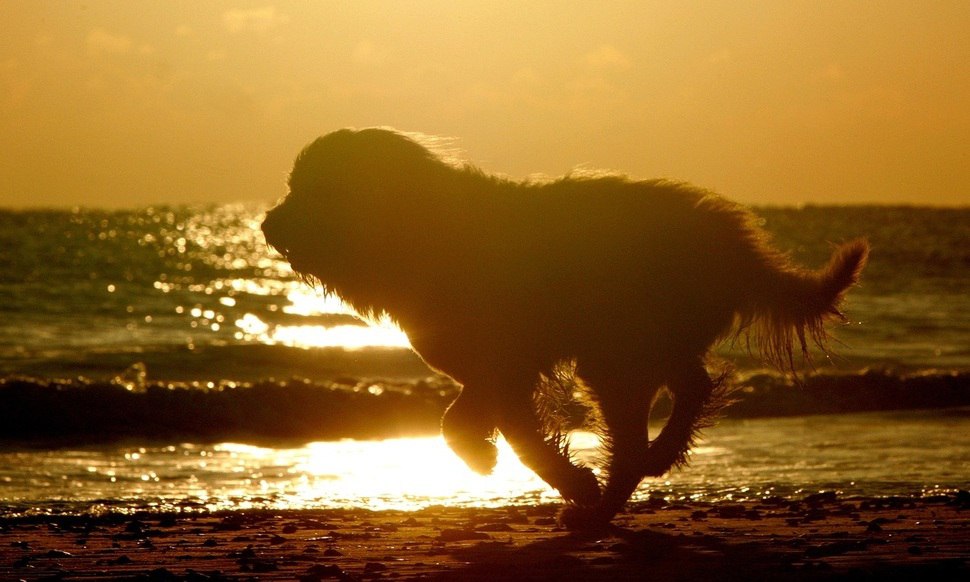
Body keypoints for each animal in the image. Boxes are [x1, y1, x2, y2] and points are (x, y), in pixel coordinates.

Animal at [260, 129, 864, 528]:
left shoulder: (506, 366)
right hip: (648, 344)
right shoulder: (495, 371)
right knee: (692, 388)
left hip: (618, 356)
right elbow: (473, 422)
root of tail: (735, 246)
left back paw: (602, 507)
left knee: (637, 432)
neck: (421, 226)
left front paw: (562, 480)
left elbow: (507, 433)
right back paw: (653, 461)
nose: (267, 225)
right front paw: (494, 459)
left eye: (315, 188)